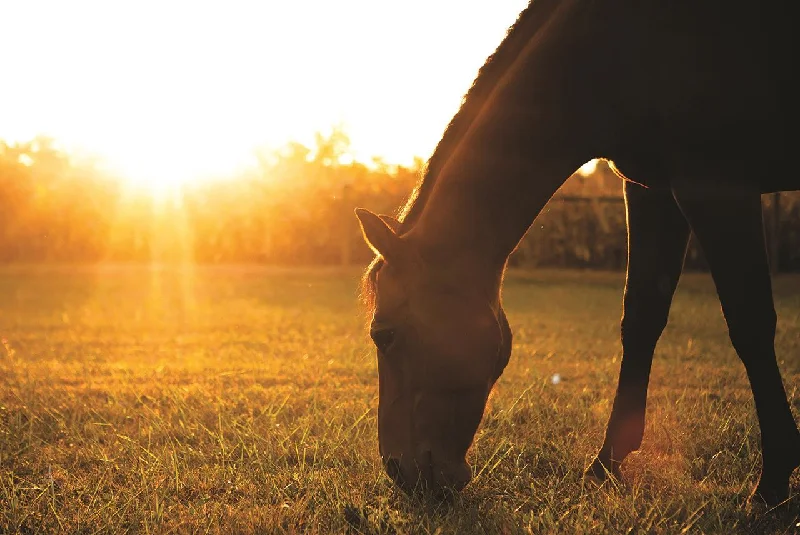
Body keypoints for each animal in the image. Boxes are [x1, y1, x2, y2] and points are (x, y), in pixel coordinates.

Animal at [358, 0, 800, 508]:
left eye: (383, 335)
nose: (399, 471)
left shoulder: (715, 185)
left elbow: (750, 325)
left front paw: (772, 480)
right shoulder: (652, 190)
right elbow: (641, 320)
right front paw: (606, 462)